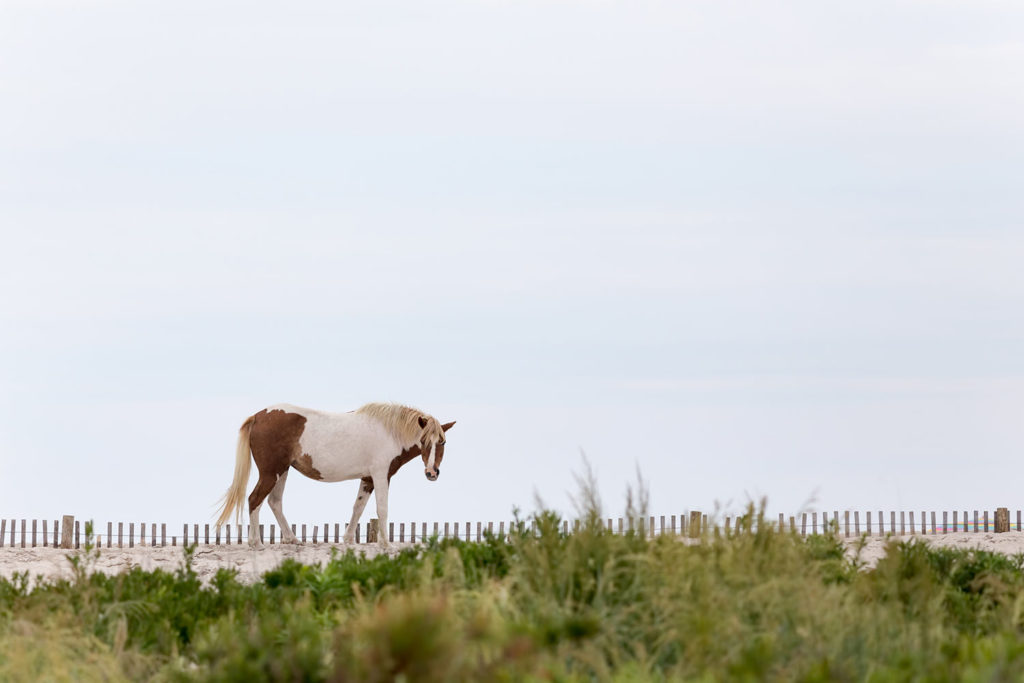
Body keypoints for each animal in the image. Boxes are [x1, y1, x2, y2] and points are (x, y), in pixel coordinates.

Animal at [214, 403, 454, 548]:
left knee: (274, 502)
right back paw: (256, 543)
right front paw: (386, 544)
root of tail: (259, 416)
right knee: (255, 499)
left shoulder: (367, 478)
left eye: (442, 442)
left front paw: (348, 540)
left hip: (282, 471)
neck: (389, 432)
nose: (432, 472)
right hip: (271, 472)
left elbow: (358, 507)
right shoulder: (380, 475)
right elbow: (382, 509)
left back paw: (292, 539)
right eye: (423, 441)